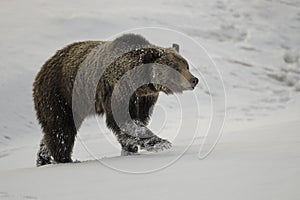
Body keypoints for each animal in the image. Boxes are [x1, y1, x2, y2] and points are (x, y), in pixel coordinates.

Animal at [32, 33, 198, 166]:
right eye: (176, 68)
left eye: (187, 65)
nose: (194, 80)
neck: (139, 82)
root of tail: (43, 68)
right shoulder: (119, 90)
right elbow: (123, 119)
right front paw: (161, 143)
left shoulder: (144, 99)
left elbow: (139, 119)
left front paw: (130, 149)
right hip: (60, 94)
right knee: (61, 129)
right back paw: (65, 159)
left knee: (54, 130)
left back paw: (43, 159)